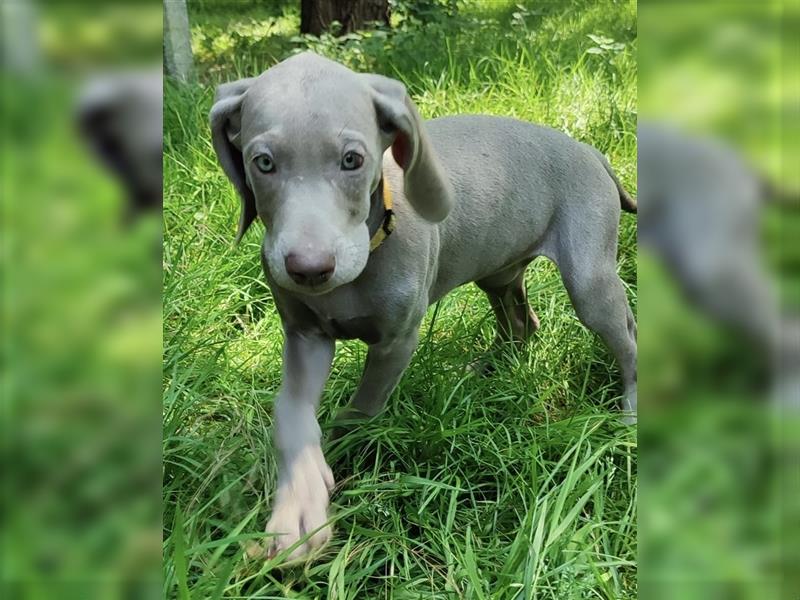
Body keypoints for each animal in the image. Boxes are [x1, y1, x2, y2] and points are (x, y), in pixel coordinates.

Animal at [209, 52, 636, 564]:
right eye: (263, 163)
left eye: (353, 160)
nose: (309, 270)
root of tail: (590, 151)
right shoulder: (305, 335)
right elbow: (291, 410)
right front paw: (299, 502)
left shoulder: (397, 341)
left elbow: (361, 410)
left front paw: (342, 453)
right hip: (498, 270)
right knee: (522, 322)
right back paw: (487, 370)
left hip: (589, 279)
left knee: (627, 337)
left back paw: (630, 415)